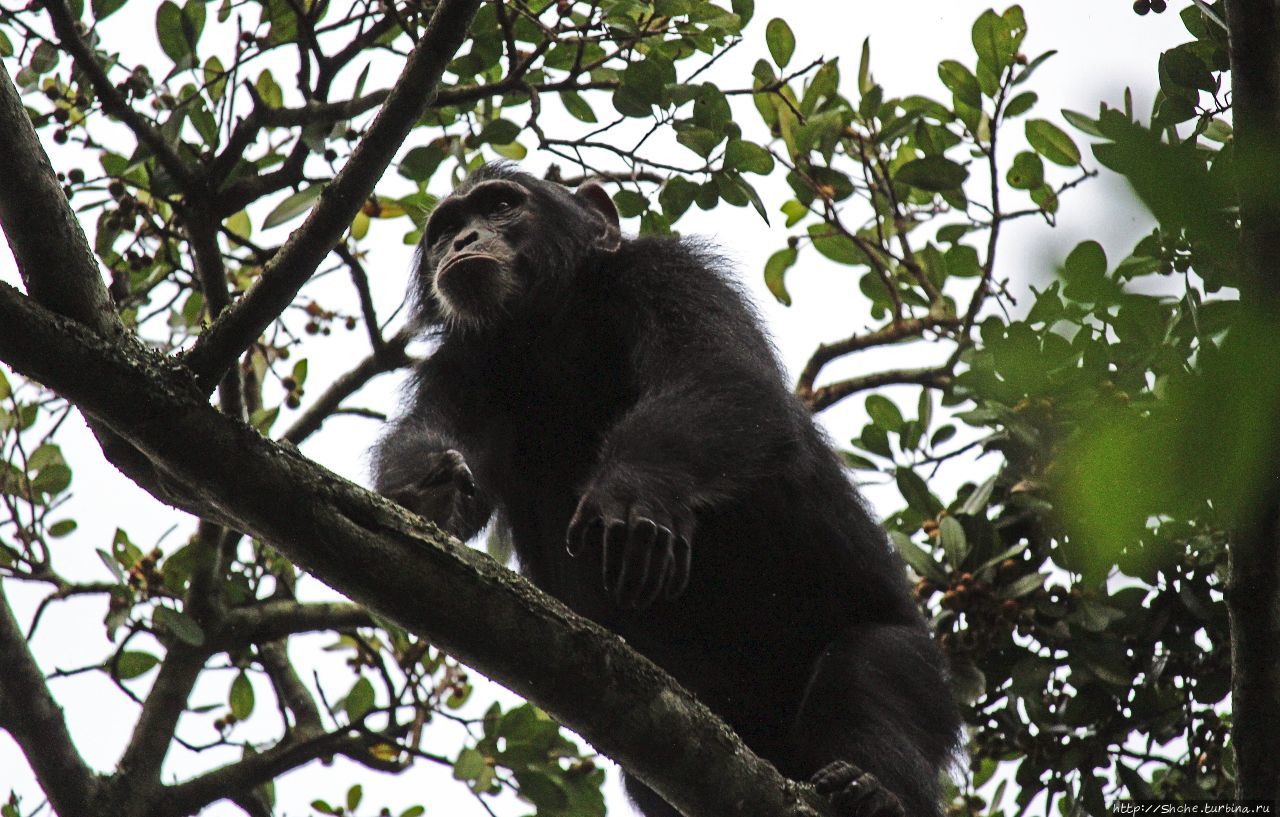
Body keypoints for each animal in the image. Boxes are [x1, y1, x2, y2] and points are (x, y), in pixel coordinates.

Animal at [373, 165, 962, 817]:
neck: (554, 328)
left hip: (923, 676)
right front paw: (427, 488)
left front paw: (631, 498)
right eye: (443, 229)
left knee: (874, 668)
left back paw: (874, 791)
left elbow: (717, 373)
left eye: (500, 205)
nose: (463, 238)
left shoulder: (671, 275)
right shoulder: (461, 366)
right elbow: (433, 442)